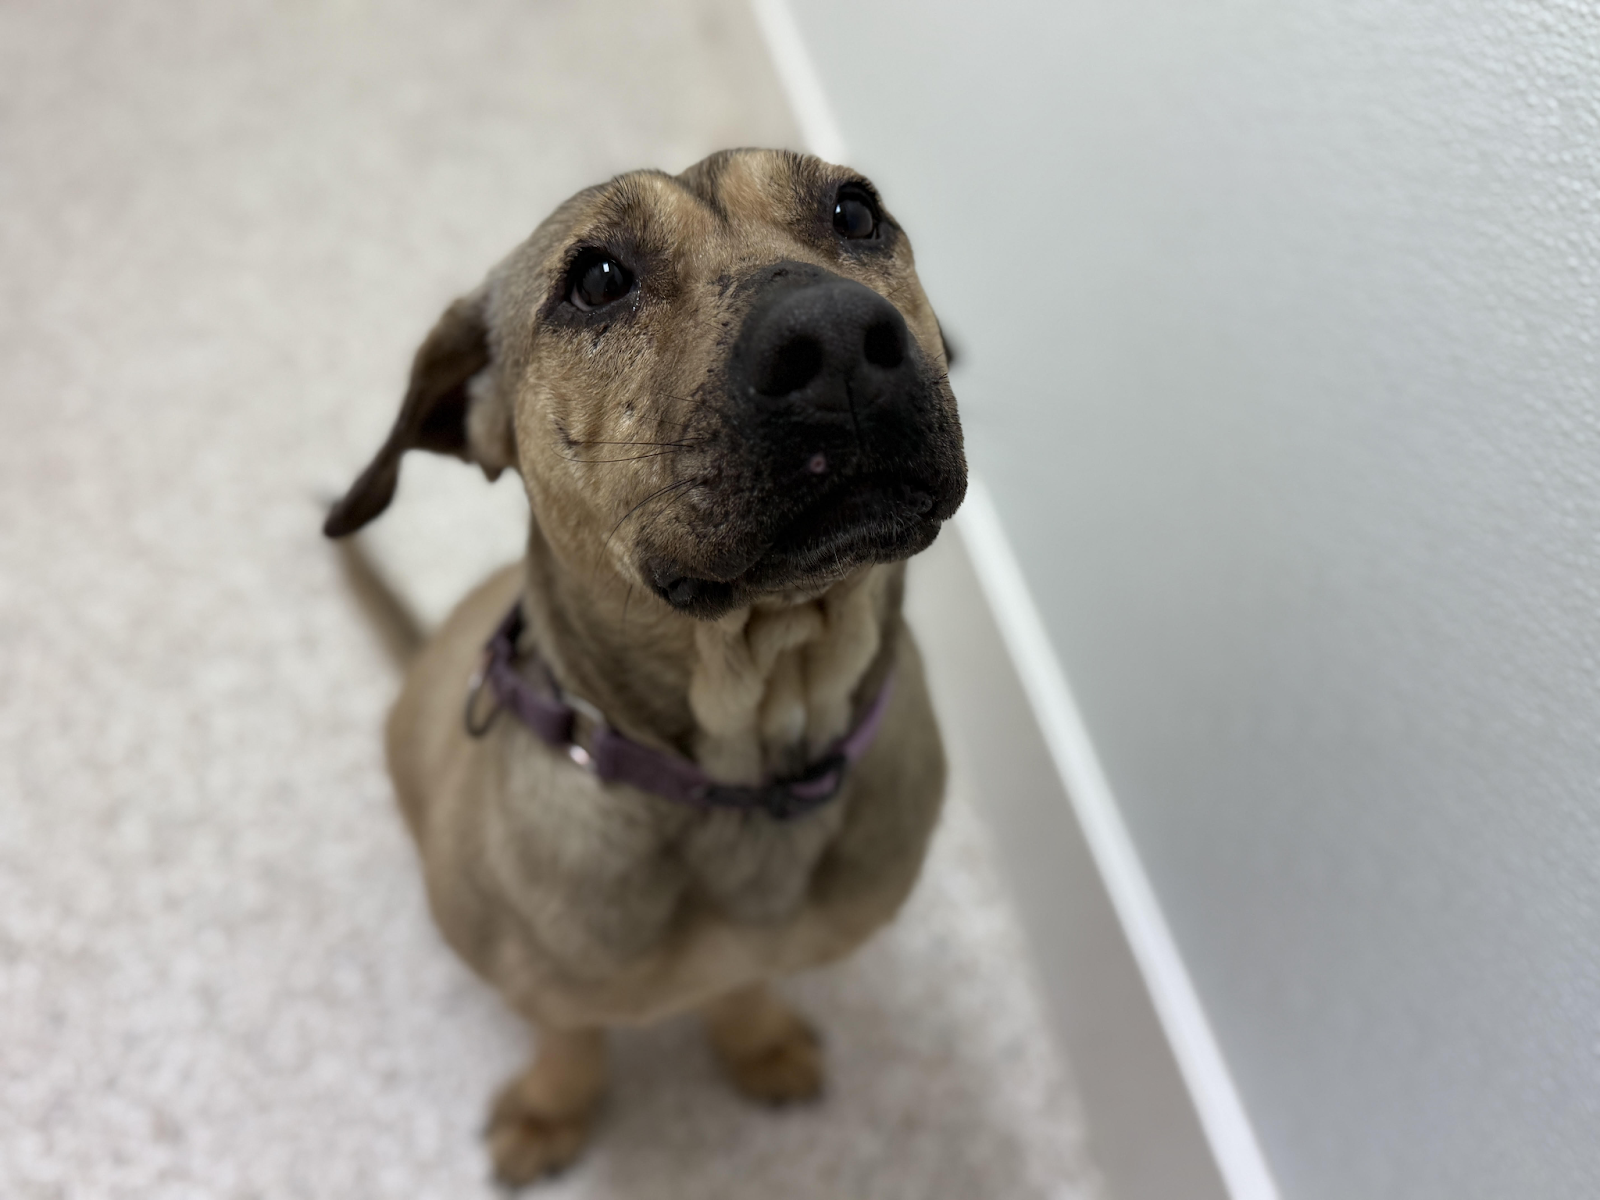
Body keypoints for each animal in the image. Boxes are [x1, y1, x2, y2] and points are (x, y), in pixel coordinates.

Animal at [324, 148, 966, 1184]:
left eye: (855, 212)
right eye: (597, 279)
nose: (835, 339)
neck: (753, 754)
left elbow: (742, 986)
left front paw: (756, 1041)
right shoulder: (539, 982)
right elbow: (568, 1037)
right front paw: (552, 1109)